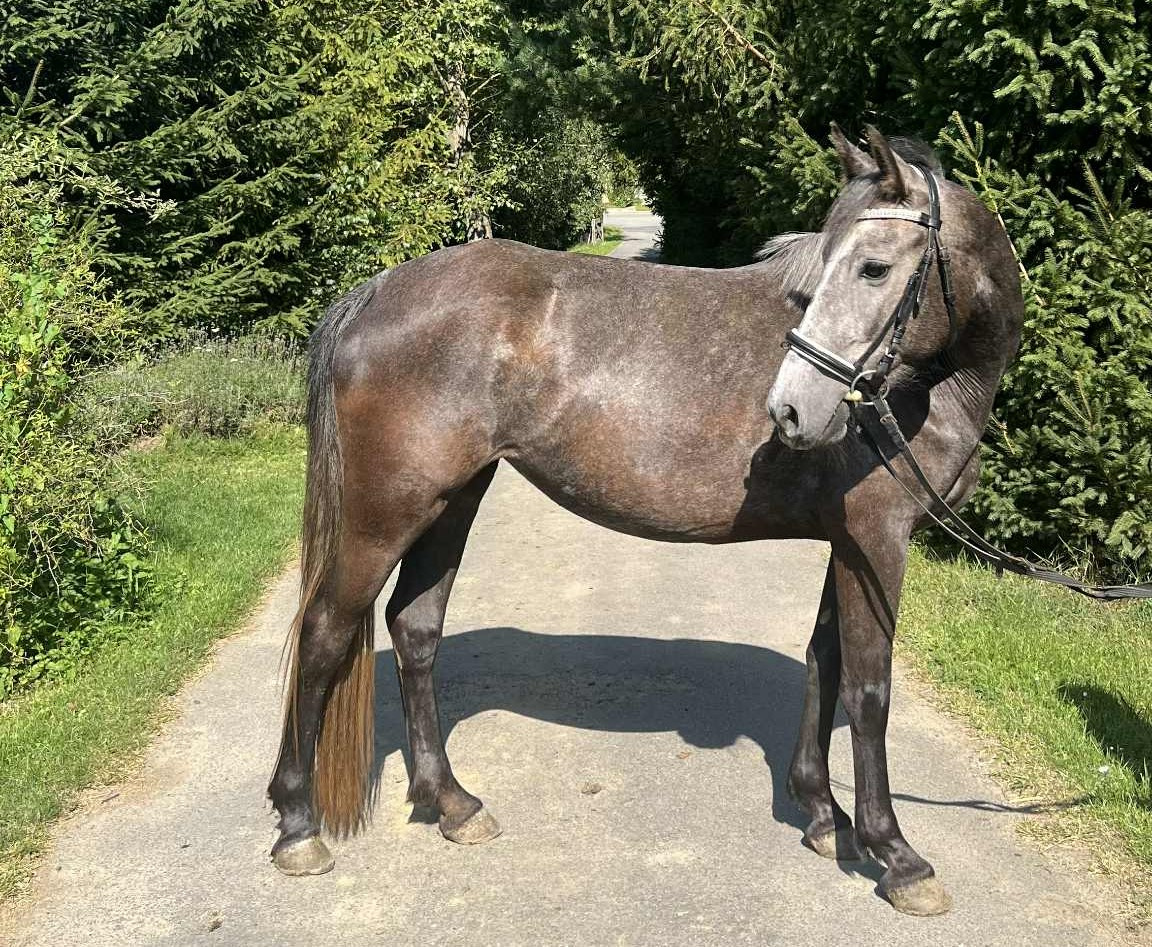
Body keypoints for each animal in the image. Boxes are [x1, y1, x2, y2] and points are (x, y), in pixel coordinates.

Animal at [266, 125, 1023, 917]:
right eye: (839, 266)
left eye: (873, 267)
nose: (789, 410)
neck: (924, 388)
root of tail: (376, 292)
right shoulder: (876, 541)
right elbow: (870, 692)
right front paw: (896, 854)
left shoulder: (847, 543)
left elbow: (826, 661)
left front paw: (822, 814)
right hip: (385, 512)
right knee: (324, 633)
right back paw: (298, 825)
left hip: (453, 499)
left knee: (415, 630)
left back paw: (451, 802)